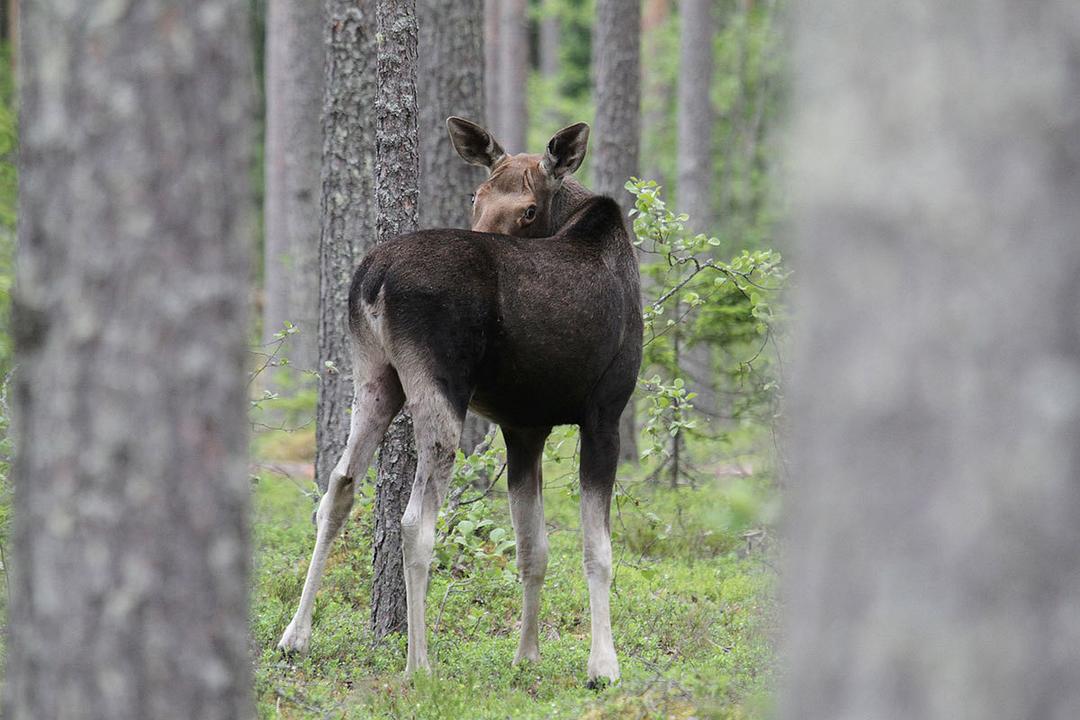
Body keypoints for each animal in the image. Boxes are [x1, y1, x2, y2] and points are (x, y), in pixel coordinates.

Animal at [278, 115, 643, 686]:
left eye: (529, 209)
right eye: (476, 197)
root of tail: (372, 279)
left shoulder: (524, 427)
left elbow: (532, 548)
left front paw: (526, 656)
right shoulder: (605, 412)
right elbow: (596, 550)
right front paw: (603, 666)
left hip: (375, 377)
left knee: (338, 486)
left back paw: (295, 636)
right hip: (440, 389)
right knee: (414, 522)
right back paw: (418, 663)